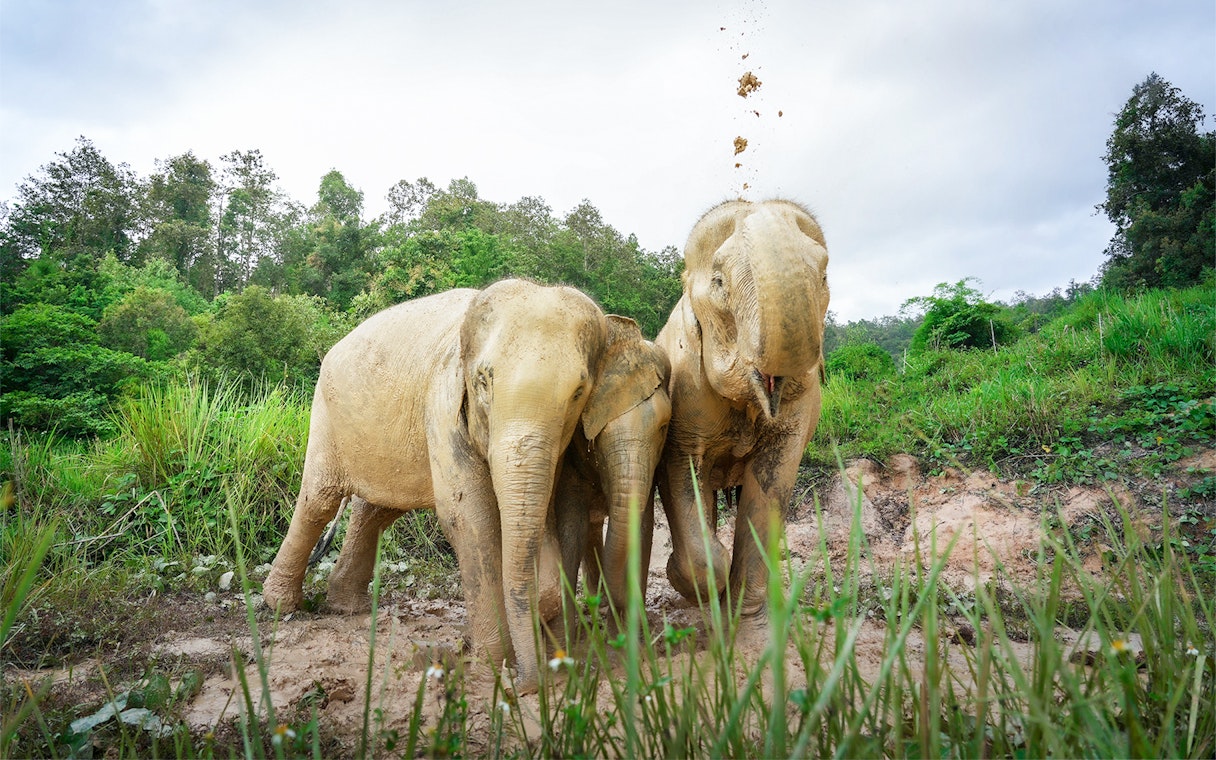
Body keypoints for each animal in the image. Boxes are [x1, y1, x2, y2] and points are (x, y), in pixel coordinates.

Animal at [262, 279, 611, 694]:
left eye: (579, 392)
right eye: (483, 381)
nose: (526, 684)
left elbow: (548, 513)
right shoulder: (444, 403)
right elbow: (470, 518)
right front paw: (490, 670)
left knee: (376, 510)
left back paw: (346, 606)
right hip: (327, 414)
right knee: (320, 499)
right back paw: (281, 605)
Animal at [654, 199, 830, 627]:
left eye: (823, 276)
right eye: (719, 282)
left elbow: (771, 480)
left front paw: (744, 613)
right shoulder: (685, 387)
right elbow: (682, 469)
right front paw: (701, 581)